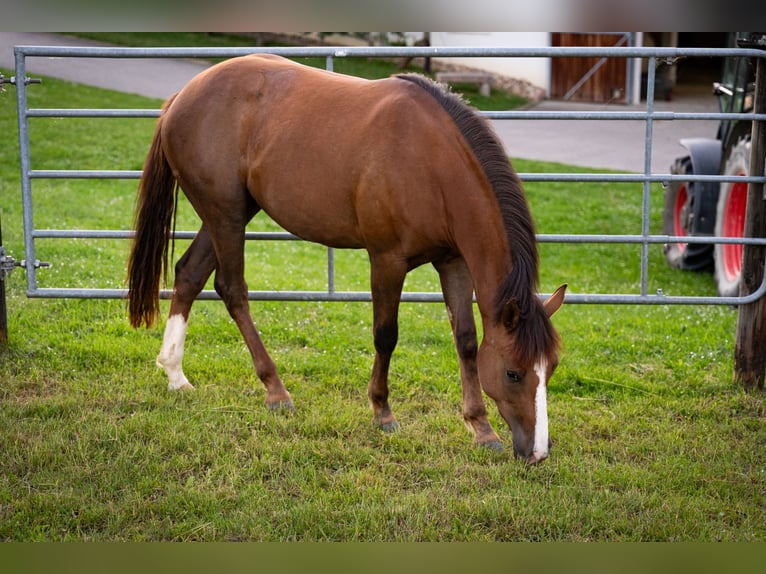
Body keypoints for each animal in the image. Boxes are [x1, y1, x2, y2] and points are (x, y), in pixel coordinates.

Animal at [127, 54, 567, 464]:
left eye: (551, 368)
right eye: (513, 372)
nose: (538, 453)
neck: (431, 163)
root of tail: (183, 96)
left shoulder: (454, 261)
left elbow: (467, 340)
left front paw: (481, 428)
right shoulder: (387, 260)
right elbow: (386, 335)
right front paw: (383, 412)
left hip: (229, 212)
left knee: (189, 274)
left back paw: (175, 374)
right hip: (226, 215)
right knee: (231, 289)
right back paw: (275, 390)